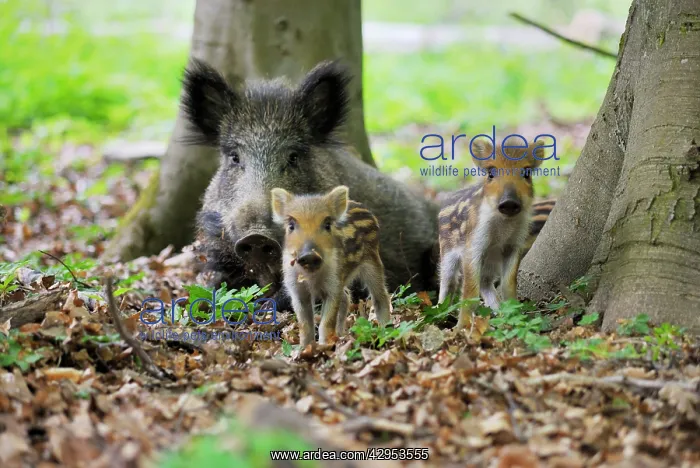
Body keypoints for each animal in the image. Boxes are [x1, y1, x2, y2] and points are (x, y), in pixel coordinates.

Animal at [271, 185, 392, 346]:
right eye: (291, 226)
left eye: (327, 225)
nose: (309, 254)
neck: (311, 276)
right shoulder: (297, 290)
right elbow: (305, 325)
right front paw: (304, 348)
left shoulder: (333, 285)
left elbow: (325, 323)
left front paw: (323, 347)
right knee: (346, 296)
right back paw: (341, 334)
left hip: (372, 263)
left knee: (381, 297)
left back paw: (385, 330)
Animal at [437, 140, 545, 329]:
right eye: (491, 172)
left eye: (526, 172)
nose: (509, 202)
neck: (504, 227)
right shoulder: (474, 245)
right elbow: (470, 290)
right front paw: (462, 327)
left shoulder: (514, 245)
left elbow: (508, 284)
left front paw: (516, 316)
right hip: (447, 252)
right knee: (447, 282)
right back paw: (439, 314)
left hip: (490, 262)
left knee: (486, 284)